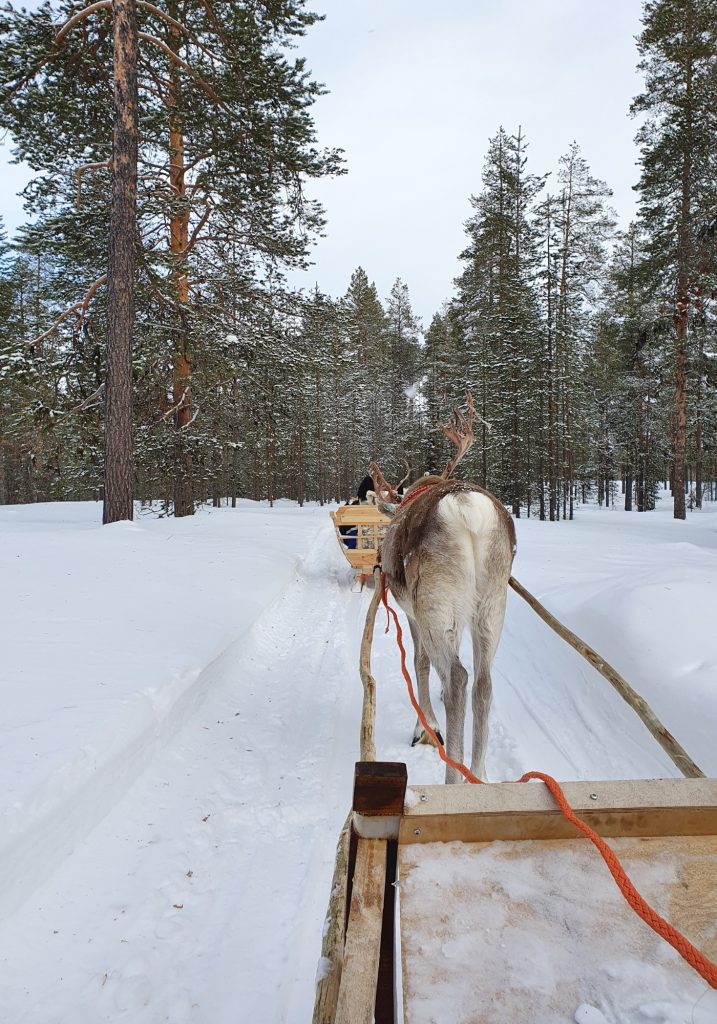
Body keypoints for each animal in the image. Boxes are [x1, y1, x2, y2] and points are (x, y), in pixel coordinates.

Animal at [371, 395, 516, 784]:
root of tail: (467, 512)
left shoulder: (412, 613)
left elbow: (419, 662)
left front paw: (425, 727)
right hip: (491, 602)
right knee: (483, 683)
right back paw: (479, 774)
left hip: (436, 600)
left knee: (459, 679)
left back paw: (453, 777)